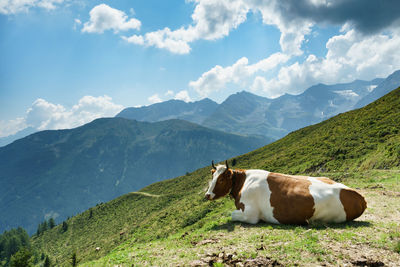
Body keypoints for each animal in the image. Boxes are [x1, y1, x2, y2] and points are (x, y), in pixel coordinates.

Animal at [205, 162, 368, 225]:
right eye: (212, 177)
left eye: (221, 180)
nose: (207, 195)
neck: (244, 182)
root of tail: (359, 196)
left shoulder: (251, 215)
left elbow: (232, 214)